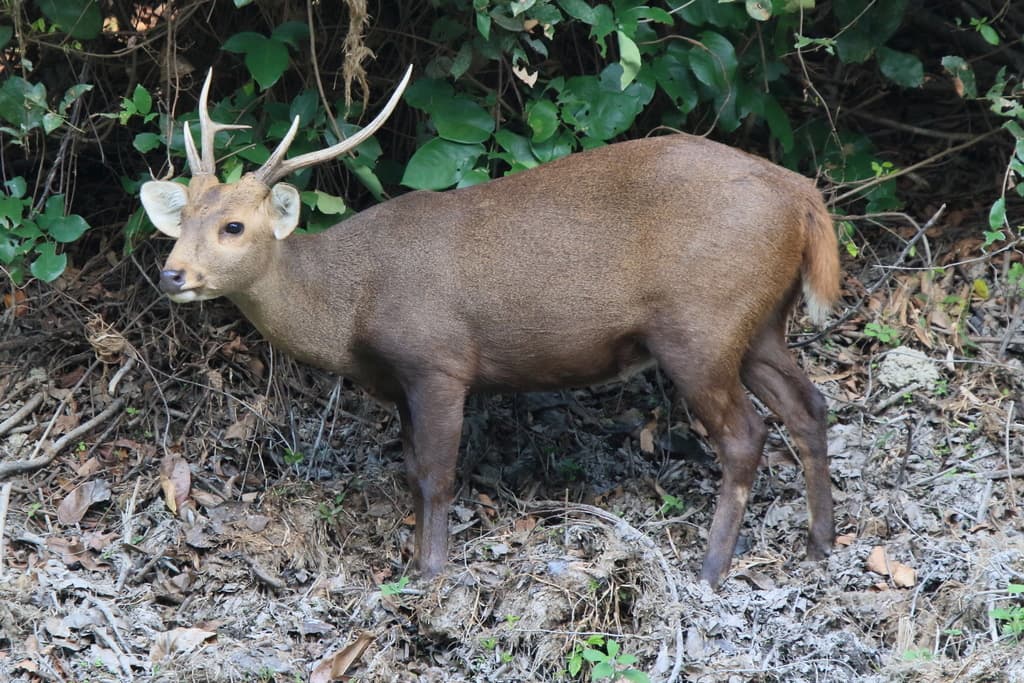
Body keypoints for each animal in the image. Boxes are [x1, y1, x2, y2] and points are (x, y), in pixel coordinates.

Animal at [140, 66, 840, 590]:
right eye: (183, 220)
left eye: (234, 226)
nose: (172, 274)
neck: (354, 305)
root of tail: (804, 196)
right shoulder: (400, 381)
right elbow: (410, 469)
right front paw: (413, 562)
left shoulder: (437, 359)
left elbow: (435, 474)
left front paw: (430, 574)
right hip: (758, 324)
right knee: (809, 405)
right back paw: (820, 545)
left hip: (702, 323)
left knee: (746, 435)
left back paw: (711, 569)